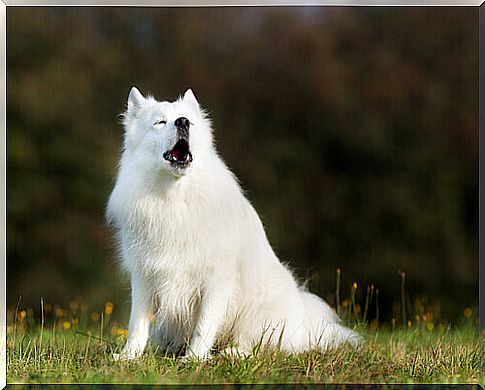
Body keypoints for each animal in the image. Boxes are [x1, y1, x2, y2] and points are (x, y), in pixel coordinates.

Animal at [108, 87, 362, 362]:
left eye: (190, 122)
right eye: (160, 122)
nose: (182, 122)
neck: (175, 198)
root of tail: (304, 326)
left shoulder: (216, 279)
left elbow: (205, 324)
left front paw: (194, 359)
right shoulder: (144, 274)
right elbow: (137, 322)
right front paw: (128, 356)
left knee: (260, 346)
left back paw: (232, 352)